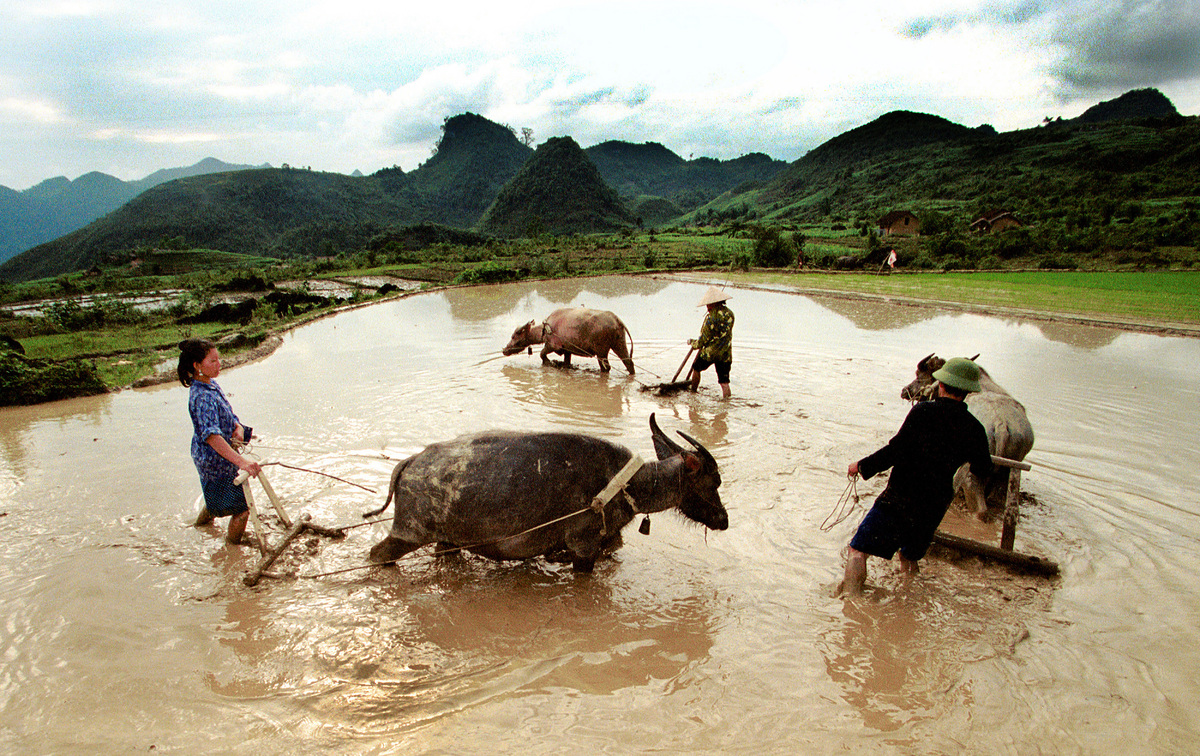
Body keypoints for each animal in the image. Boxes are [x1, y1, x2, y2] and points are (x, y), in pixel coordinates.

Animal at [364, 417, 724, 571]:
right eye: (713, 482)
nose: (723, 520)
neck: (626, 484)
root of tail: (411, 462)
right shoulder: (583, 545)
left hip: (447, 540)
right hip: (408, 534)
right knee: (378, 555)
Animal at [897, 355, 1036, 516]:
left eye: (919, 376)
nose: (904, 390)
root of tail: (1000, 425)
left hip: (972, 472)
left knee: (977, 501)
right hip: (1010, 469)